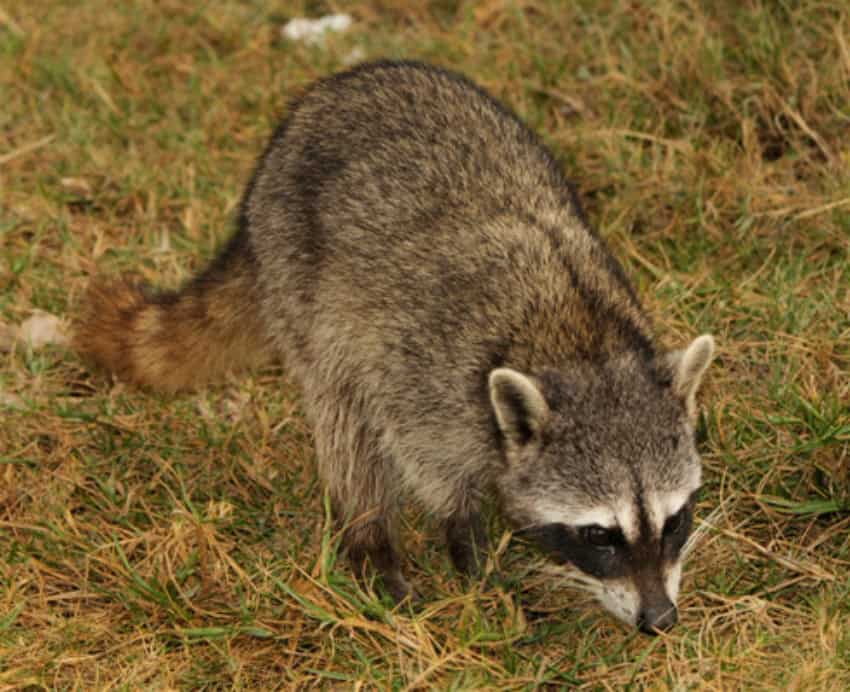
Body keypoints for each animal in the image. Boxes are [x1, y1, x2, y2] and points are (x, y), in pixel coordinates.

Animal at [75, 60, 714, 634]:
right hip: (301, 278)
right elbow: (430, 468)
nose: (661, 620)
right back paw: (370, 537)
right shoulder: (425, 376)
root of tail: (334, 89)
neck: (581, 345)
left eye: (673, 521)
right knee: (344, 419)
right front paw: (469, 552)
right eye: (600, 535)